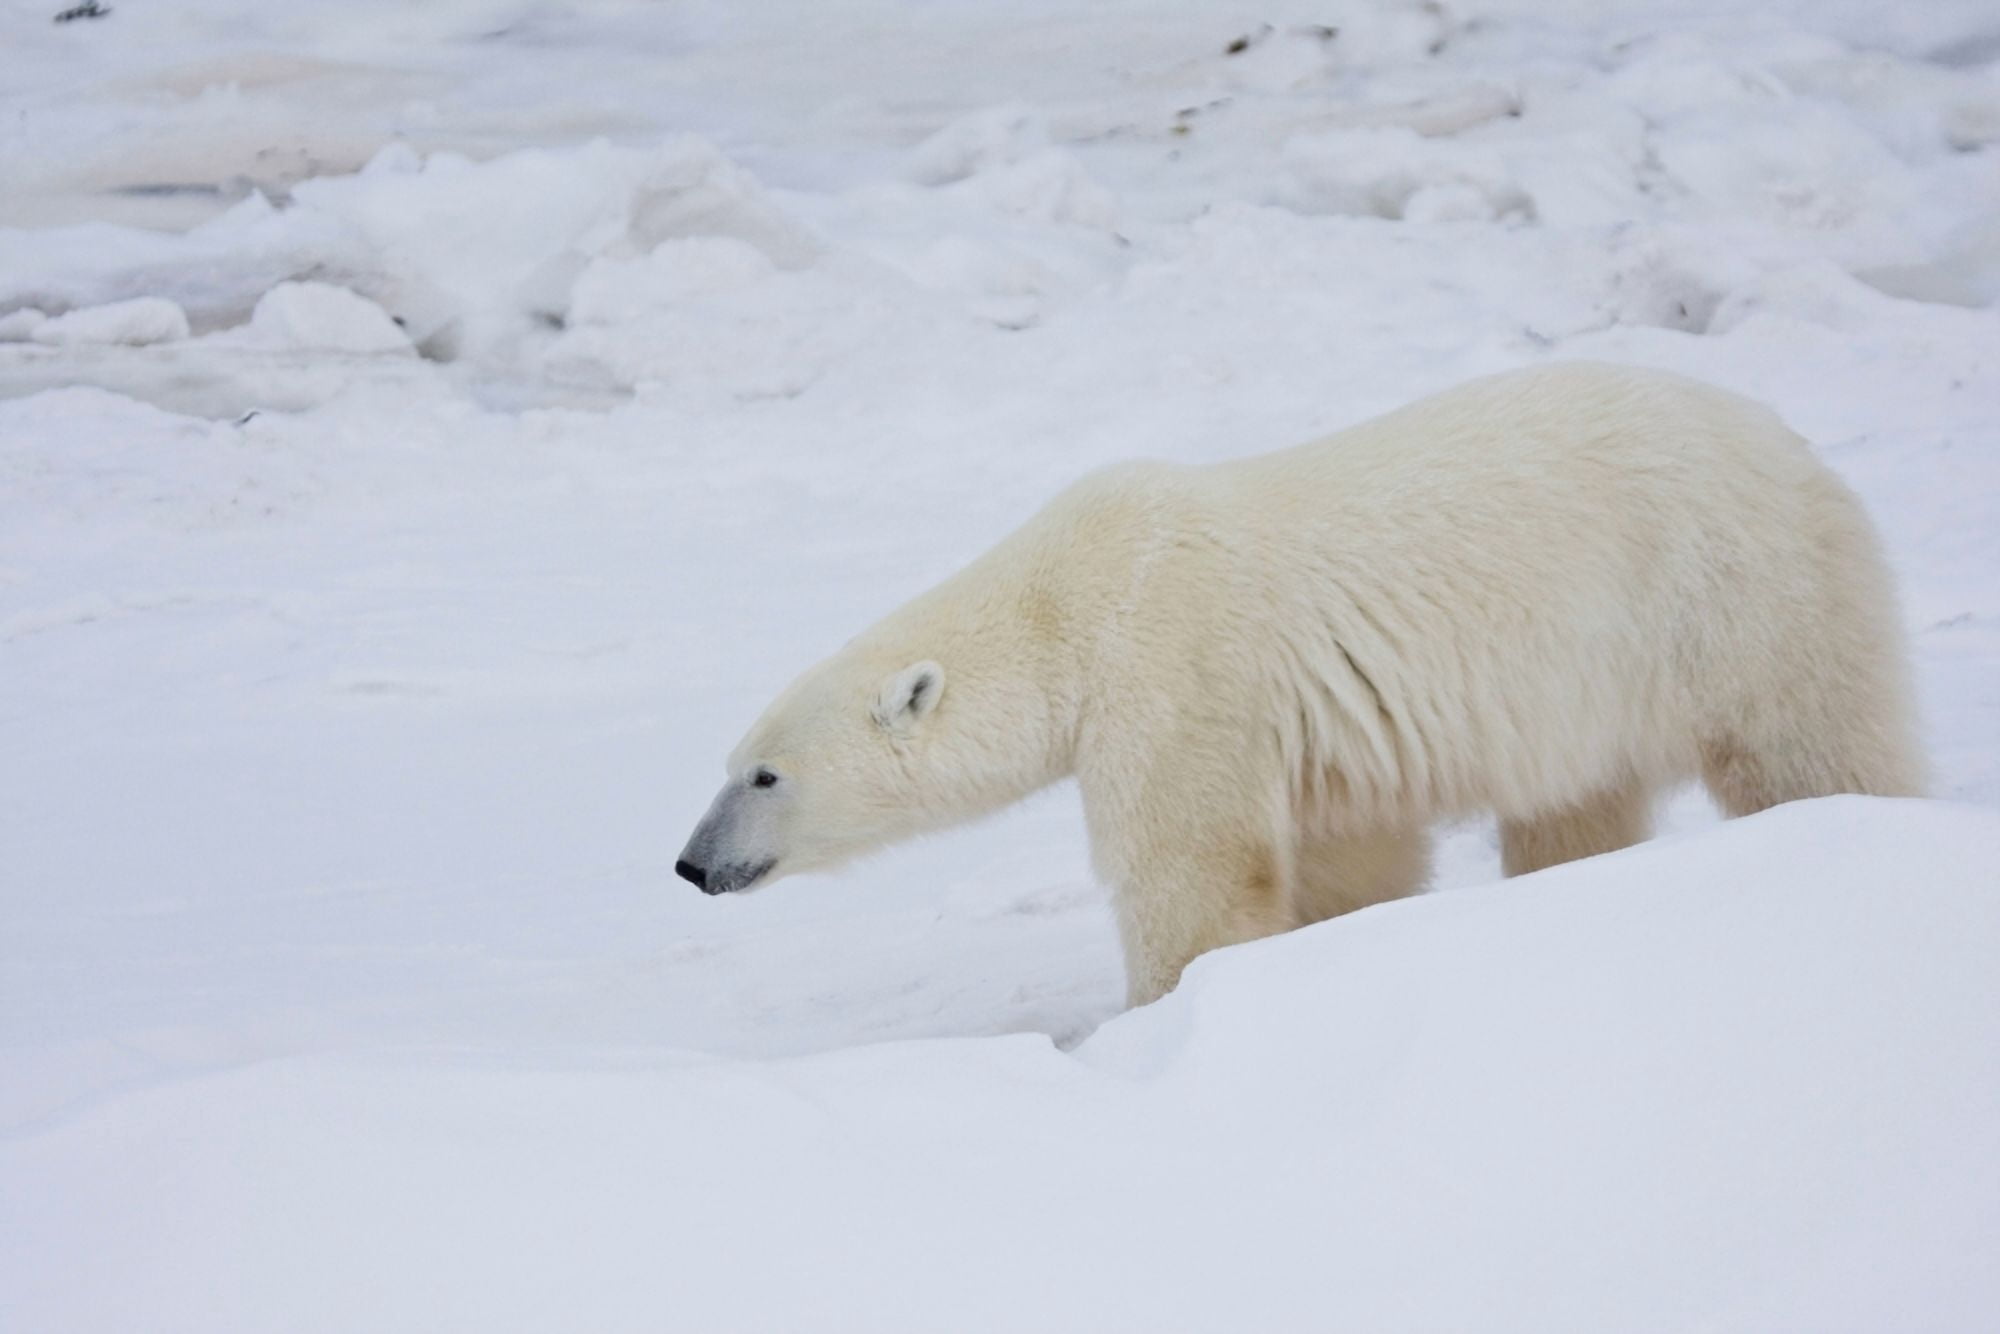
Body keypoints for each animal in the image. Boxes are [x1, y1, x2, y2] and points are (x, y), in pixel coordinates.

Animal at [676, 361, 1923, 1007]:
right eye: (731, 763)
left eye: (763, 773)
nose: (690, 863)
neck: (1071, 601)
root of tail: (1788, 440)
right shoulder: (1313, 736)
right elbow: (1349, 854)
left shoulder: (1173, 672)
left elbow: (1190, 871)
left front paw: (1161, 1014)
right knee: (1573, 803)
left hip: (1729, 592)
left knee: (1808, 743)